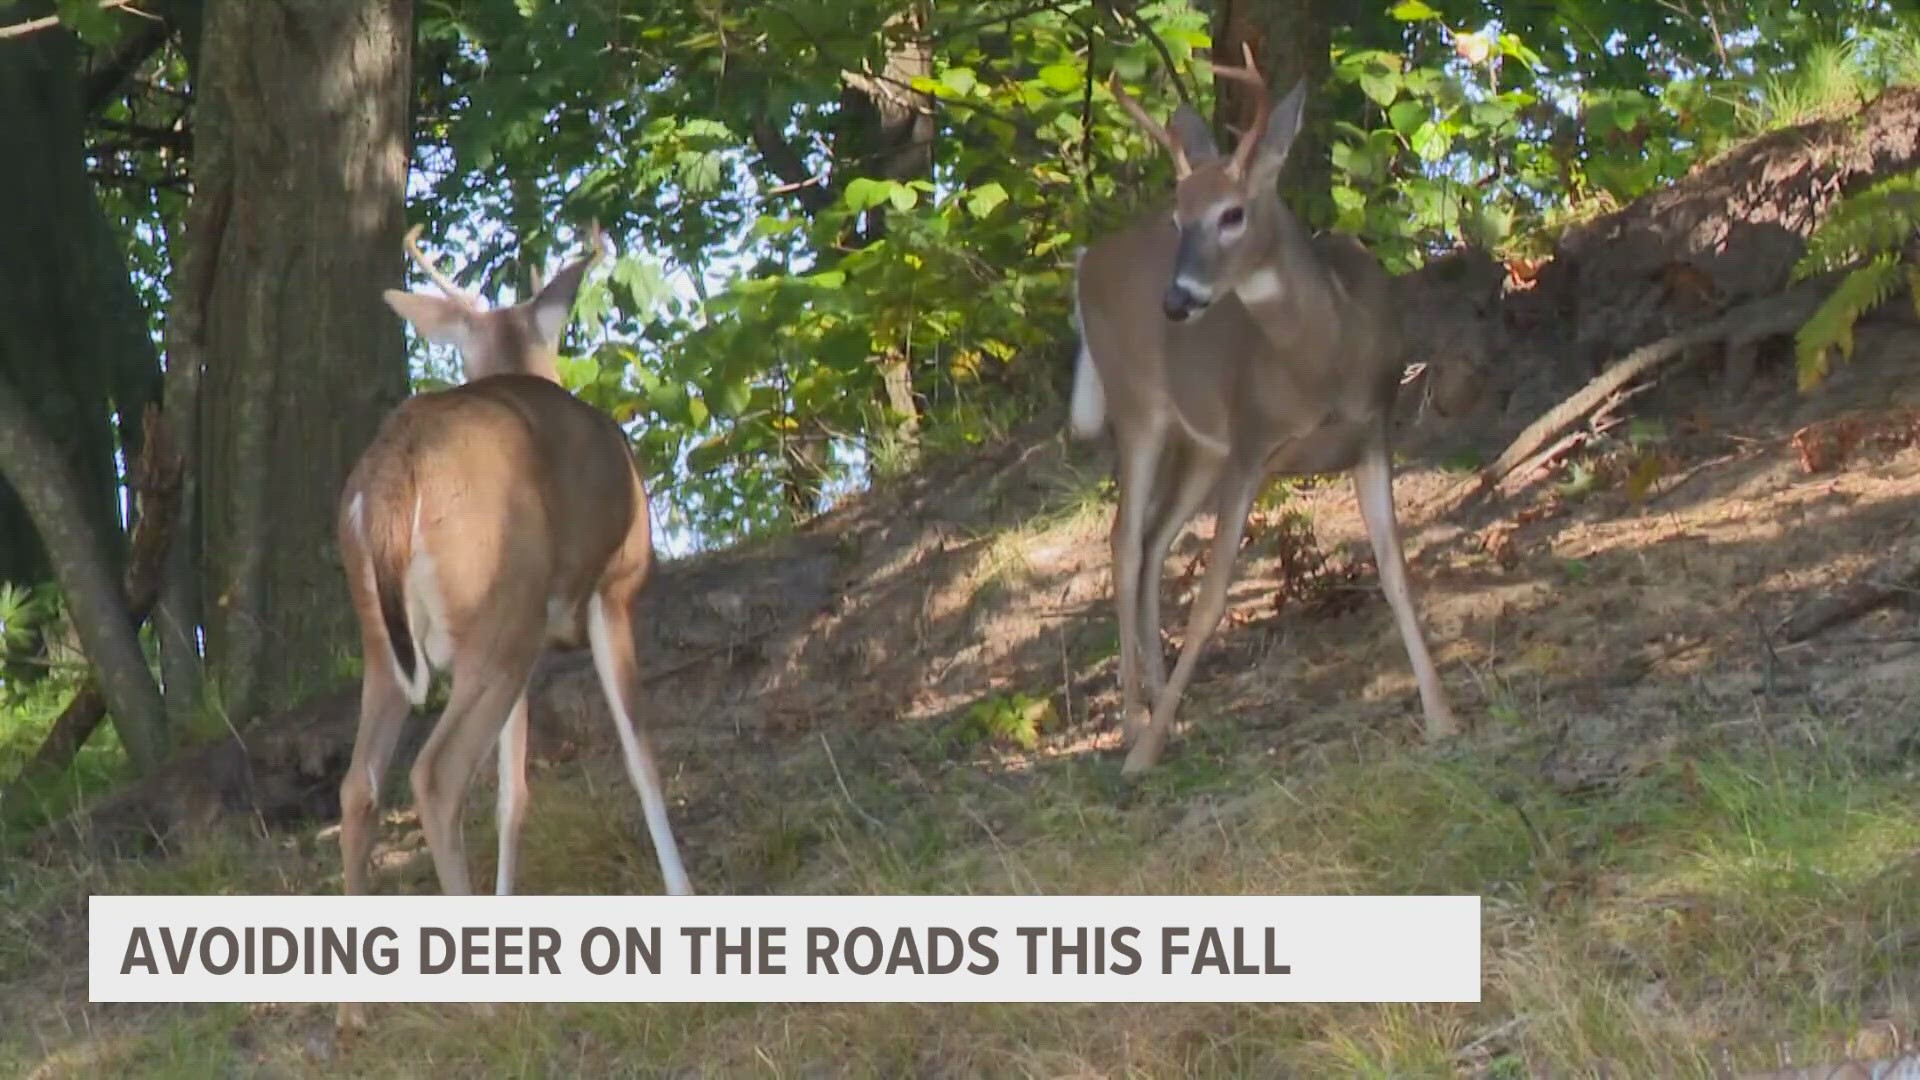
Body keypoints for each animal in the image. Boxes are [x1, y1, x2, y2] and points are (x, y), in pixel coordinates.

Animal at [336, 222, 691, 1022]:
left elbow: (512, 793)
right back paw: (481, 1004)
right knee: (436, 775)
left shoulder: (531, 644)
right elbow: (641, 755)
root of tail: (395, 473)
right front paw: (685, 895)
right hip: (495, 619)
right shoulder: (614, 588)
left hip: (396, 641)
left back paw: (352, 1011)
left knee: (359, 785)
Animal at [1075, 48, 1459, 772]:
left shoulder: (1373, 431)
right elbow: (1211, 598)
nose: (1176, 300)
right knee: (1123, 540)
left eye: (1232, 214)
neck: (1325, 364)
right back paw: (1137, 725)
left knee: (1153, 537)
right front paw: (1144, 755)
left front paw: (1442, 717)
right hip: (1138, 404)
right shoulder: (1253, 441)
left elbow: (1395, 569)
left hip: (1200, 444)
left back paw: (1166, 704)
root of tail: (1083, 262)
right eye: (1177, 219)